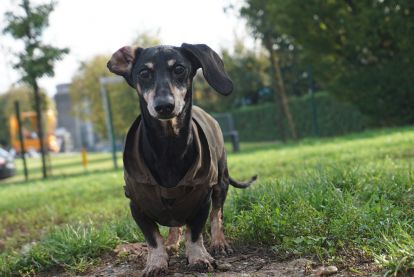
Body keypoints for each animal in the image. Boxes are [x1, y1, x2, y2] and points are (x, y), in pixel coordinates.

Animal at [106, 43, 256, 276]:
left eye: (179, 69)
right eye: (144, 73)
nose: (164, 106)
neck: (168, 147)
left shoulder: (202, 199)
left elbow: (195, 232)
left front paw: (198, 257)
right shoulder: (136, 205)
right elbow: (153, 239)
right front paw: (156, 262)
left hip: (221, 181)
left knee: (217, 215)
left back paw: (219, 243)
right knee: (175, 222)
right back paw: (172, 243)